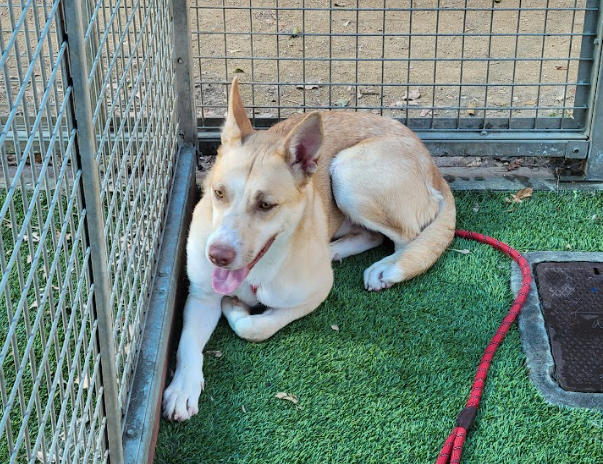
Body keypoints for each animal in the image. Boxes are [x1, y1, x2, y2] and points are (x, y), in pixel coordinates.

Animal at [163, 77, 456, 420]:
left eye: (266, 205)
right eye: (218, 193)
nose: (217, 256)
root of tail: (430, 160)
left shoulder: (315, 294)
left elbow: (257, 327)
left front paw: (235, 310)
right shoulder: (201, 296)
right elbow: (186, 344)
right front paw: (183, 388)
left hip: (348, 172)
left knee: (406, 238)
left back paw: (386, 268)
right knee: (370, 236)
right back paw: (334, 251)